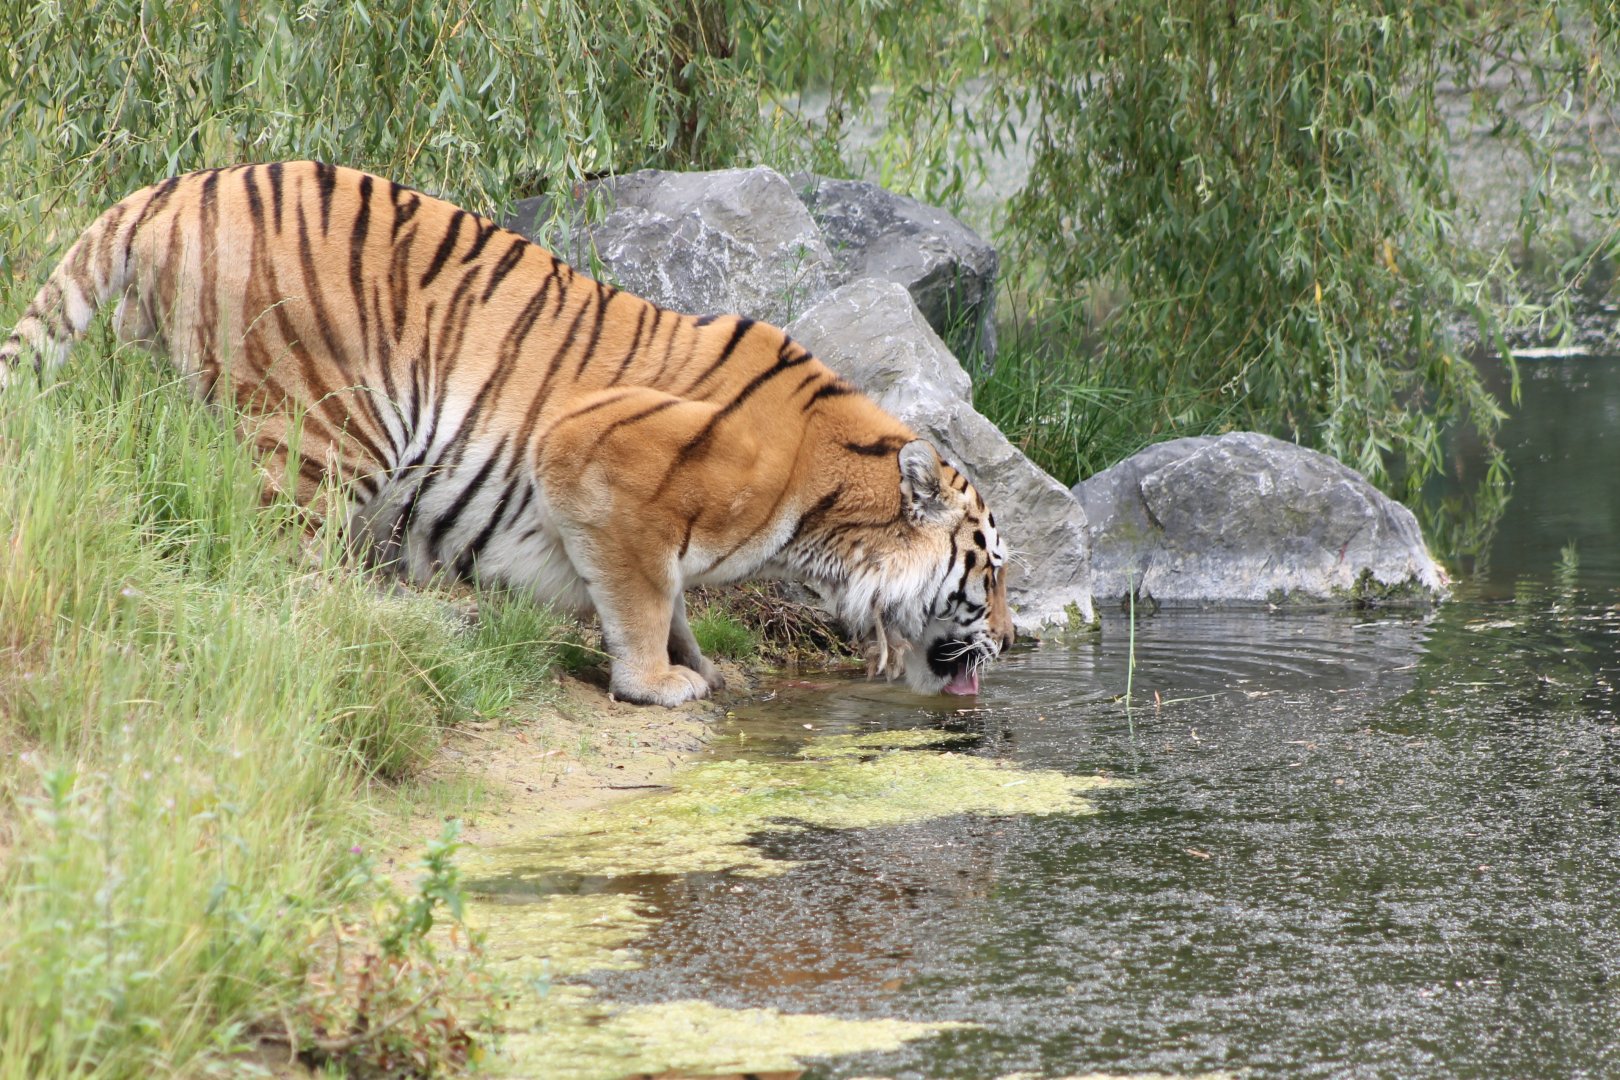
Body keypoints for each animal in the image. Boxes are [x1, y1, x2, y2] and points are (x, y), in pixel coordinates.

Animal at [0, 161, 1014, 706]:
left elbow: (673, 598)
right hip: (323, 428)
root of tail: (177, 187)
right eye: (993, 570)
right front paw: (658, 682)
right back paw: (367, 626)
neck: (824, 508)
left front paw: (702, 668)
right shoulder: (596, 451)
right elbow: (643, 593)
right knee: (275, 564)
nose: (1008, 639)